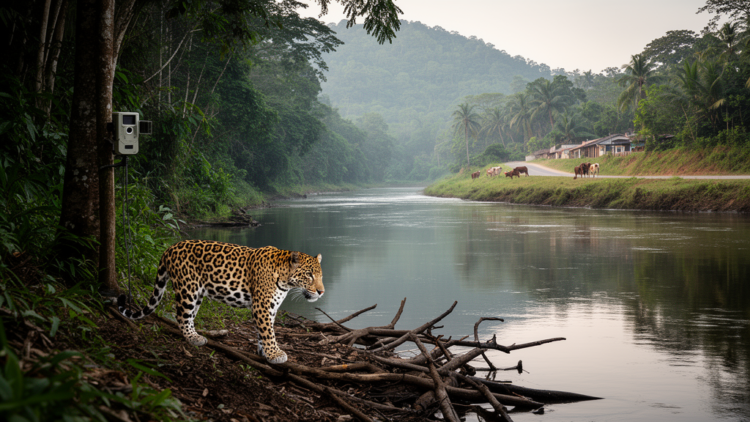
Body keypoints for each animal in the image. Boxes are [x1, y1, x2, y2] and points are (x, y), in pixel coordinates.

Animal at [117, 239, 324, 364]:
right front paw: (275, 354)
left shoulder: (270, 307)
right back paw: (193, 339)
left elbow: (263, 331)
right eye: (309, 275)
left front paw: (264, 352)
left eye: (321, 275)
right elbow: (268, 331)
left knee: (188, 316)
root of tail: (170, 248)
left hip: (197, 294)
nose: (321, 292)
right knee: (182, 316)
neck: (285, 279)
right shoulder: (262, 306)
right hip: (188, 288)